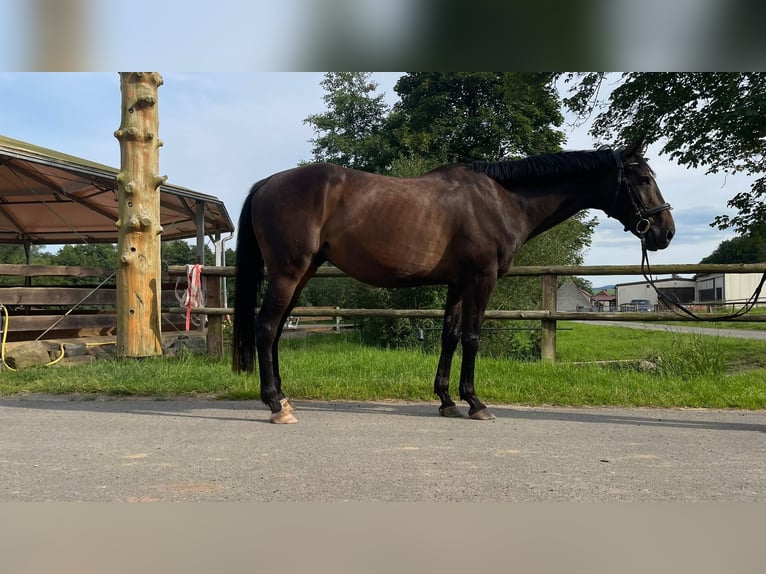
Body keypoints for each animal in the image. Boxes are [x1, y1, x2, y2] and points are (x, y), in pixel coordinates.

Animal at [231, 135, 676, 424]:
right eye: (642, 179)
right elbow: (473, 337)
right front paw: (476, 403)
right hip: (289, 272)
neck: (501, 198)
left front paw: (446, 400)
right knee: (266, 326)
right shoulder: (482, 279)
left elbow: (449, 336)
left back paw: (284, 398)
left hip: (302, 274)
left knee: (275, 330)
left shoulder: (458, 284)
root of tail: (267, 183)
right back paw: (275, 406)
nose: (666, 232)